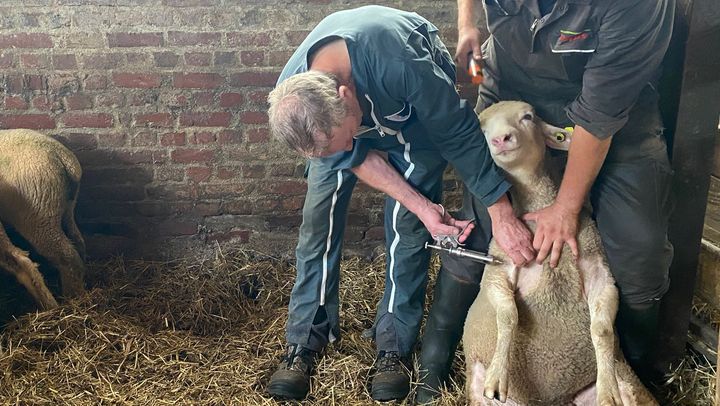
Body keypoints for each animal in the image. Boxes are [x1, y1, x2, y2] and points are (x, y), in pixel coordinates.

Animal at [0, 128, 86, 310]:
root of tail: (65, 159)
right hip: (67, 209)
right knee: (78, 242)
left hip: (37, 215)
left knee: (67, 258)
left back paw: (68, 300)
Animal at [462, 102, 660, 406]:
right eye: (481, 128)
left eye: (528, 117)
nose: (500, 139)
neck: (537, 210)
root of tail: (555, 401)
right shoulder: (498, 269)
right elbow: (508, 315)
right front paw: (497, 376)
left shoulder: (598, 269)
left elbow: (602, 330)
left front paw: (608, 390)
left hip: (629, 381)